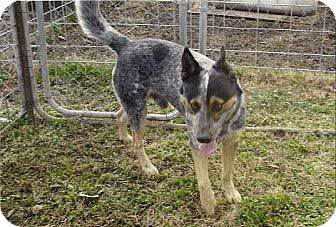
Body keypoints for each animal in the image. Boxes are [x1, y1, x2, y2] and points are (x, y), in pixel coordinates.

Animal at [75, 0, 244, 216]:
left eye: (218, 105)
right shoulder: (195, 145)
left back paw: (124, 136)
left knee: (120, 115)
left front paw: (230, 193)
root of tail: (126, 45)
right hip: (139, 110)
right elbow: (204, 181)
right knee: (138, 143)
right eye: (193, 105)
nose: (203, 138)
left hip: (134, 104)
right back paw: (147, 167)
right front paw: (208, 204)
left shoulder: (233, 141)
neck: (223, 128)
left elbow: (227, 173)